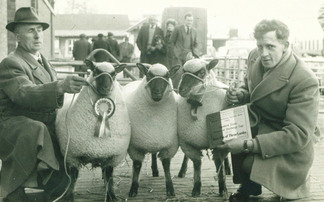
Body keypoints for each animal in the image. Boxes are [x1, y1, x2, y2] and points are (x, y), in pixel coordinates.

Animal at [55, 50, 130, 200]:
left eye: (113, 73)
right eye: (95, 71)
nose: (106, 88)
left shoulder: (111, 156)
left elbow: (109, 176)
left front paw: (111, 195)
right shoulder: (72, 155)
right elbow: (73, 177)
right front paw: (68, 195)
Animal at [123, 62, 181, 197]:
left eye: (167, 76)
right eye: (149, 75)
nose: (157, 93)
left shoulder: (170, 145)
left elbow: (166, 165)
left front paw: (170, 189)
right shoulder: (134, 146)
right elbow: (137, 165)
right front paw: (133, 189)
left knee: (154, 154)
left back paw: (155, 171)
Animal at [176, 58, 229, 197]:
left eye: (201, 72)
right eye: (184, 71)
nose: (181, 89)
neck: (197, 103)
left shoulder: (218, 144)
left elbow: (219, 163)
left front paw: (223, 189)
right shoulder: (187, 143)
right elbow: (197, 164)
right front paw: (196, 188)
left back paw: (228, 170)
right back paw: (182, 171)